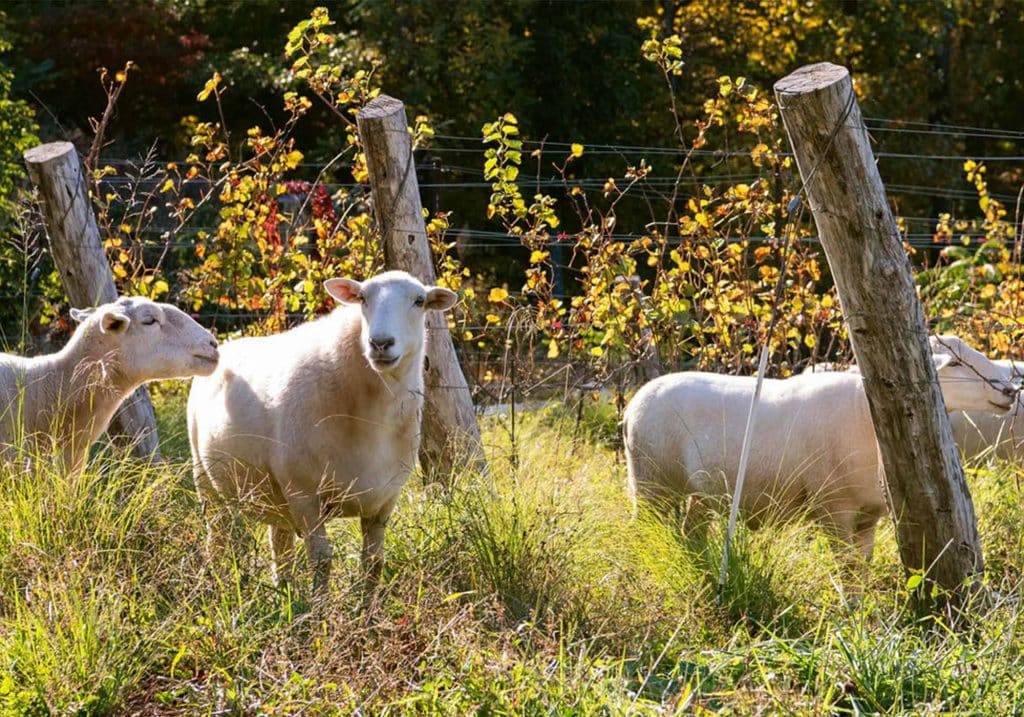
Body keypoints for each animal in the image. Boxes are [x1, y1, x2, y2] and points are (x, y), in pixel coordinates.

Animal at [187, 268, 456, 594]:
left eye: (419, 301)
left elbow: (373, 564)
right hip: (207, 481)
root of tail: (226, 345)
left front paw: (368, 608)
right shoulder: (304, 494)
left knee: (280, 545)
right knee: (220, 541)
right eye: (362, 299)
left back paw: (284, 593)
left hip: (275, 497)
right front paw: (319, 607)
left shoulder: (384, 500)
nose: (380, 343)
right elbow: (322, 560)